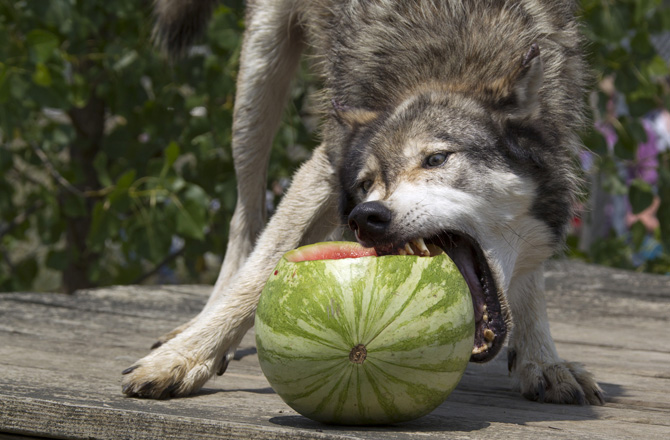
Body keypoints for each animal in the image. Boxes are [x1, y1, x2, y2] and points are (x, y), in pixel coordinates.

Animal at [122, 0, 604, 405]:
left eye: (436, 159)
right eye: (367, 181)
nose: (367, 215)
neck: (452, 60)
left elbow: (531, 278)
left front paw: (542, 361)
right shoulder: (325, 163)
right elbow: (261, 268)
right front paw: (180, 360)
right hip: (259, 80)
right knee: (245, 219)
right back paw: (194, 329)